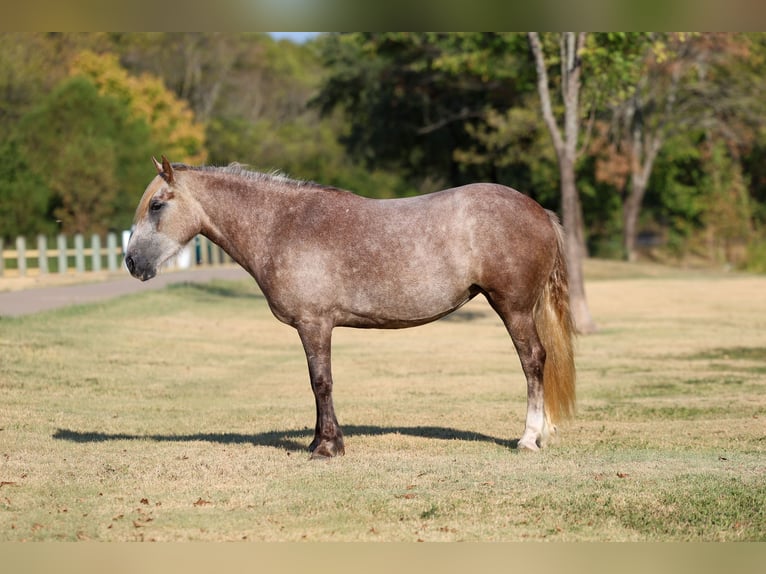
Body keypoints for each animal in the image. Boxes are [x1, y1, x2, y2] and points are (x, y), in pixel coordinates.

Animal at [125, 156, 576, 458]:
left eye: (156, 205)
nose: (131, 262)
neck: (282, 225)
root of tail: (539, 210)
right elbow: (316, 384)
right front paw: (318, 441)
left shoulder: (314, 324)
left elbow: (321, 382)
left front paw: (327, 447)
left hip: (514, 308)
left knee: (533, 361)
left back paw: (529, 438)